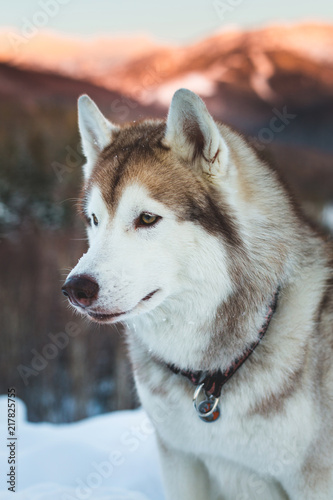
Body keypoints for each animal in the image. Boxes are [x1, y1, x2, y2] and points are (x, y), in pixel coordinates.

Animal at [61, 90, 332, 500]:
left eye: (146, 218)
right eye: (94, 220)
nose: (76, 288)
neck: (213, 372)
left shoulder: (312, 480)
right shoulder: (181, 460)